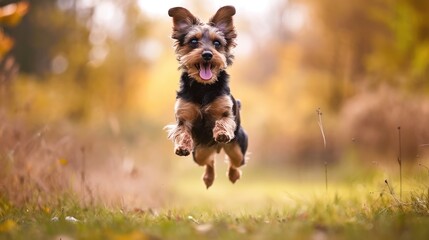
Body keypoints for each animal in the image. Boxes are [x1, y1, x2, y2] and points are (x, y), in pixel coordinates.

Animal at [166, 5, 249, 188]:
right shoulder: (183, 115)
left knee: (236, 162)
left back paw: (233, 175)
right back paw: (208, 178)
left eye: (217, 43)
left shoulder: (226, 110)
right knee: (209, 161)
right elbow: (182, 130)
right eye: (193, 41)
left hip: (237, 148)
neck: (203, 87)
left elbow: (224, 120)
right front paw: (182, 146)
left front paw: (222, 132)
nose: (207, 54)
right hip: (200, 153)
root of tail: (217, 148)